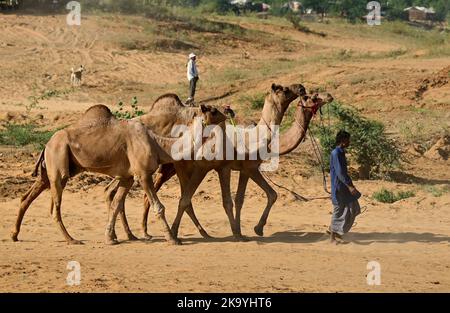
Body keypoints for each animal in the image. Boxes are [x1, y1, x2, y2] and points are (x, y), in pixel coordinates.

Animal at [10, 102, 229, 244]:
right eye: (213, 109)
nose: (229, 111)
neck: (158, 144)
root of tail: (47, 143)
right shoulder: (143, 174)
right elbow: (158, 206)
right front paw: (171, 238)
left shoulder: (127, 177)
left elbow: (116, 204)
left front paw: (110, 238)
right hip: (58, 164)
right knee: (55, 206)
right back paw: (71, 239)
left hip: (51, 169)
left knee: (27, 196)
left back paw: (14, 234)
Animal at [105, 82, 306, 239]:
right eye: (283, 89)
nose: (301, 88)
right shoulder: (216, 167)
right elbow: (200, 199)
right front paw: (242, 232)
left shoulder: (234, 168)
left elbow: (240, 199)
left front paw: (245, 231)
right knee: (123, 193)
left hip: (156, 167)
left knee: (118, 193)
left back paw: (131, 233)